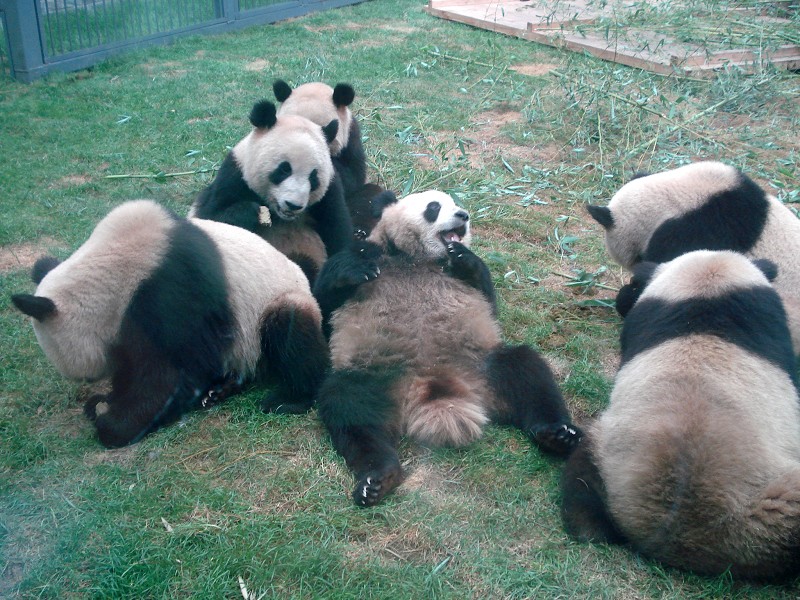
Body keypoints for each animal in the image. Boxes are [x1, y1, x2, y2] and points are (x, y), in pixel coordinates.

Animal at [10, 200, 328, 446]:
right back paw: (221, 388)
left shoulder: (170, 290)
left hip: (269, 307)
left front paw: (112, 421)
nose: (89, 380)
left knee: (290, 329)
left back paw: (289, 398)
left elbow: (170, 371)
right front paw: (104, 401)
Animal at [191, 100, 354, 284]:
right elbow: (210, 218)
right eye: (284, 169)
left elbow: (338, 232)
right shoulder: (233, 176)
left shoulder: (330, 192)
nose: (293, 205)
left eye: (313, 177)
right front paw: (251, 211)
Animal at [312, 191, 580, 506]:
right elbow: (324, 305)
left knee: (528, 372)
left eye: (456, 203)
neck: (415, 258)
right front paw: (353, 271)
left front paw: (464, 257)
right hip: (376, 375)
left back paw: (558, 435)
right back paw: (378, 476)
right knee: (350, 408)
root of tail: (436, 387)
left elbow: (488, 299)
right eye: (434, 207)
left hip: (483, 364)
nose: (463, 215)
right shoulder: (367, 252)